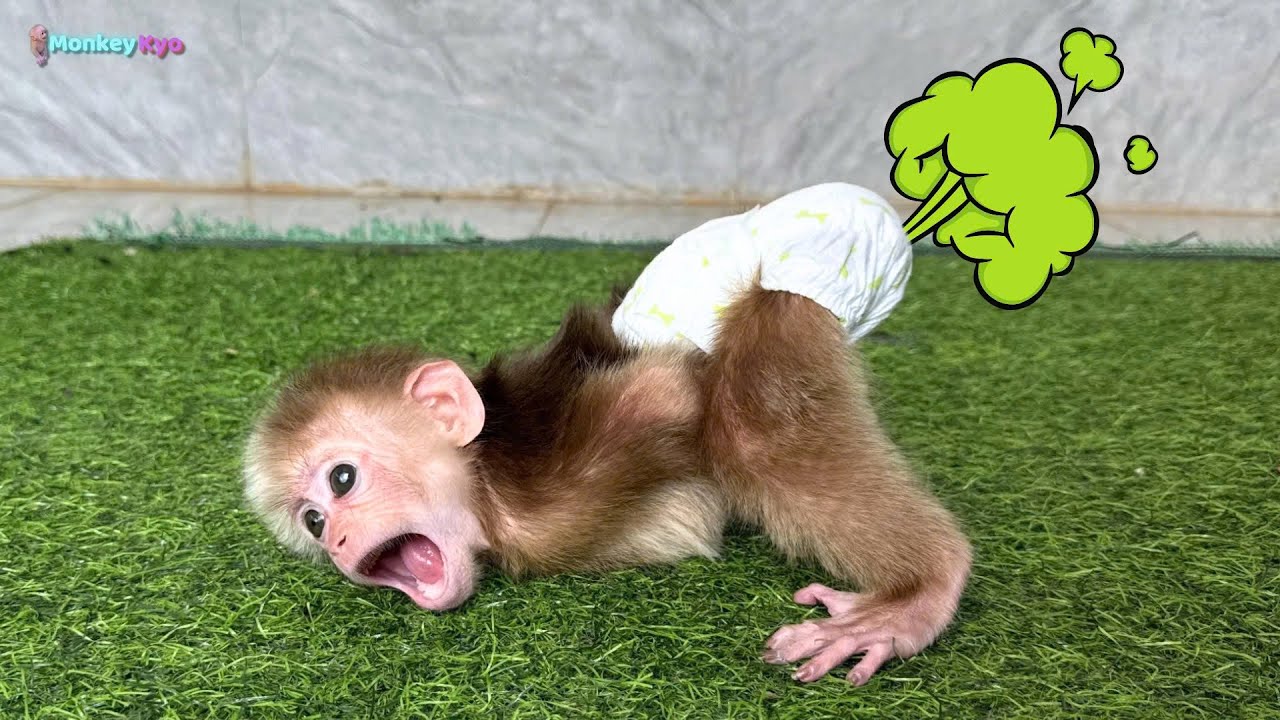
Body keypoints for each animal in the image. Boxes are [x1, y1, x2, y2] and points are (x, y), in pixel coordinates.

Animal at [243, 280, 972, 686]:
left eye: (342, 480)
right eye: (311, 521)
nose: (337, 540)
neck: (488, 488)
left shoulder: (541, 505)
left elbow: (674, 389)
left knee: (748, 426)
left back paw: (923, 587)